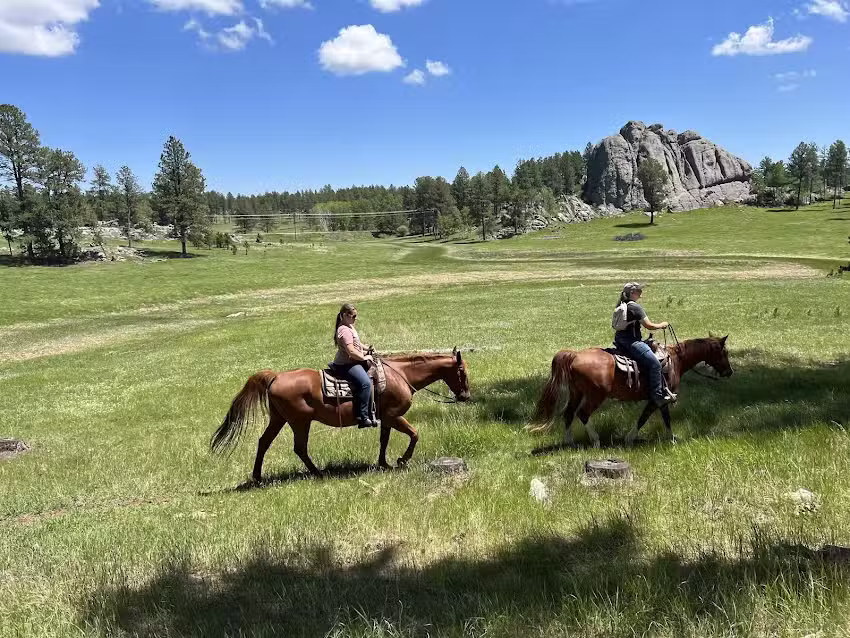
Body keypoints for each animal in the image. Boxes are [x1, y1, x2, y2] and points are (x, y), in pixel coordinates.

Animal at [211, 350, 471, 481]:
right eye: (463, 371)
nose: (466, 396)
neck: (400, 375)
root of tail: (276, 376)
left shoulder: (386, 419)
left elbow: (384, 440)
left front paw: (384, 463)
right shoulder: (394, 416)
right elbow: (414, 434)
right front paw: (402, 460)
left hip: (279, 419)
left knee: (264, 442)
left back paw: (257, 477)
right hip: (299, 421)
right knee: (299, 448)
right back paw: (317, 473)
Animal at [533, 336, 733, 447]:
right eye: (725, 353)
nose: (729, 372)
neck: (676, 360)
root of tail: (575, 355)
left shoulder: (662, 399)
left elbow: (666, 419)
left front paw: (671, 439)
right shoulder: (657, 398)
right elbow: (643, 418)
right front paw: (630, 439)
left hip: (576, 393)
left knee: (568, 413)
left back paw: (569, 441)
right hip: (595, 395)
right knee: (582, 414)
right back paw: (595, 440)